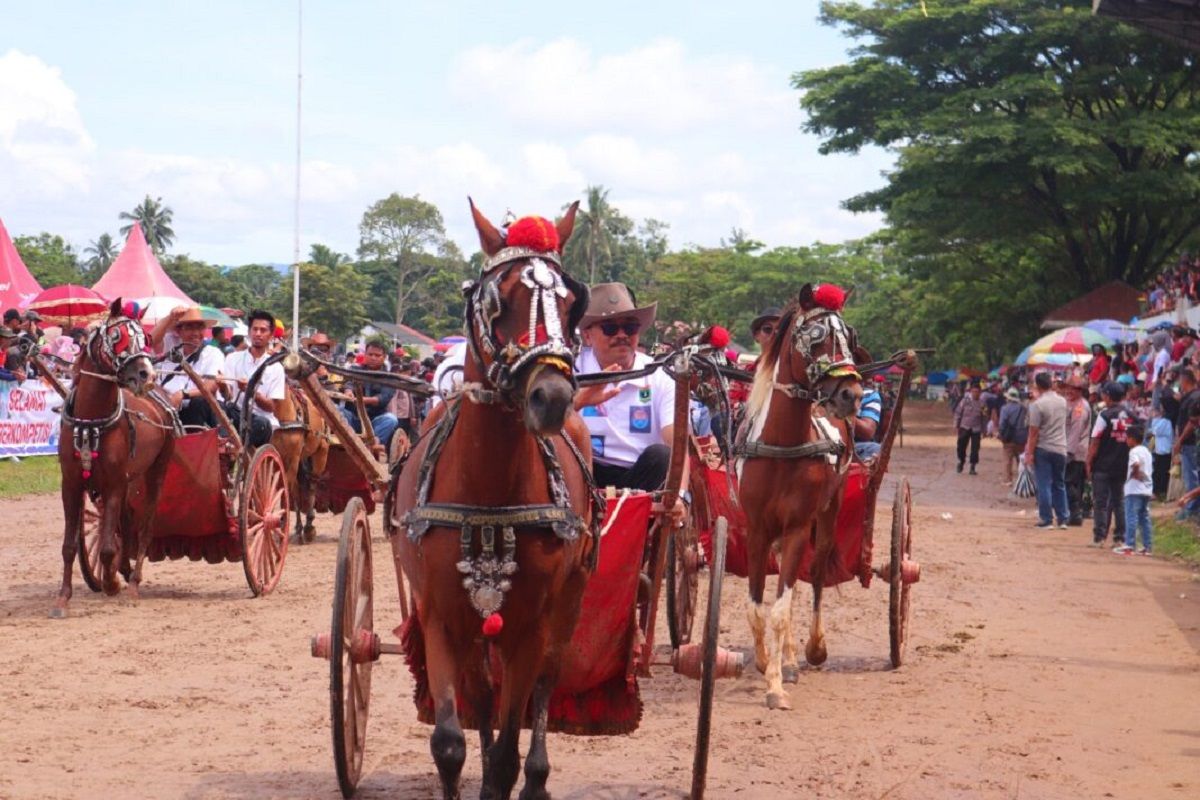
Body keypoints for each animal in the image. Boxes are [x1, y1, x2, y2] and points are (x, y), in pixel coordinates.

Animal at [51, 299, 176, 618]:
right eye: (118, 336)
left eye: (145, 338)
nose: (146, 375)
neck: (90, 419)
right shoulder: (71, 484)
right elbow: (69, 546)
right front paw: (63, 599)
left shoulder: (113, 485)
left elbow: (107, 546)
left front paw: (111, 584)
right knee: (126, 523)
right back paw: (125, 569)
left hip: (156, 472)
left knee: (144, 527)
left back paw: (132, 583)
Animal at [271, 383, 328, 544]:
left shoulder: (293, 458)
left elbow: (286, 489)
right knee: (297, 488)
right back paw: (298, 527)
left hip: (321, 453)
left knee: (312, 484)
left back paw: (308, 526)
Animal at [391, 200, 597, 800]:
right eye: (496, 299)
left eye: (572, 303)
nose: (551, 397)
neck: (487, 490)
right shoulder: (438, 616)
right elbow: (449, 743)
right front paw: (469, 763)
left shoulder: (530, 626)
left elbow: (509, 748)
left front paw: (511, 773)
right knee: (483, 693)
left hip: (567, 602)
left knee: (545, 685)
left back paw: (538, 778)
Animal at [739, 281, 864, 705]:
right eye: (816, 336)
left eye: (850, 337)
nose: (851, 394)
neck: (783, 444)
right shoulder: (757, 530)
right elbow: (758, 606)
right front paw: (765, 661)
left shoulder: (796, 527)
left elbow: (781, 608)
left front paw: (776, 683)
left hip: (827, 512)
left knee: (817, 572)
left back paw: (810, 650)